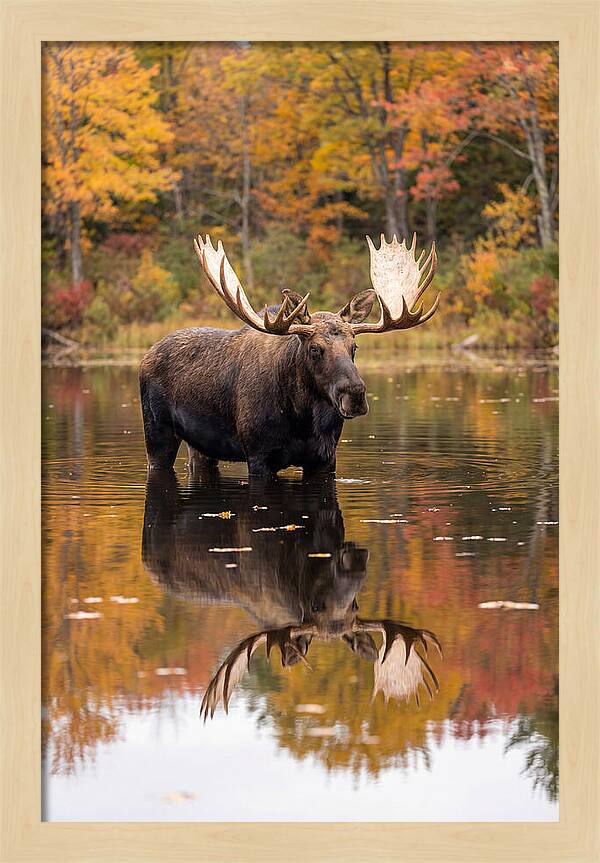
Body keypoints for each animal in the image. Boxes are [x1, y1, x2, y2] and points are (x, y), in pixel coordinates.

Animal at [139, 233, 439, 478]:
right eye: (315, 348)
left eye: (354, 347)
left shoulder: (325, 458)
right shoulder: (258, 455)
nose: (354, 394)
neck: (302, 418)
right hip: (156, 432)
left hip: (201, 446)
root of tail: (147, 354)